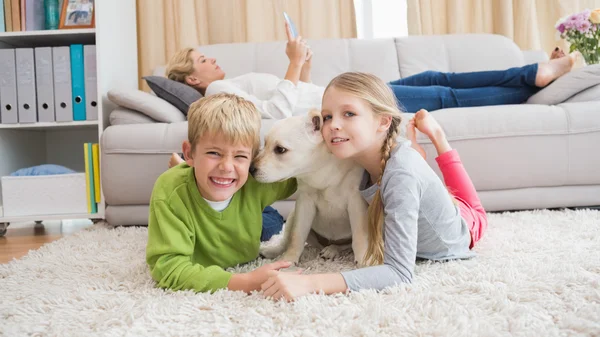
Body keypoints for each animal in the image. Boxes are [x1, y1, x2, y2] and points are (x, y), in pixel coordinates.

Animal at [251, 110, 368, 266]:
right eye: (264, 144)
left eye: (280, 150)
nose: (251, 169)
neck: (319, 169)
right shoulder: (304, 203)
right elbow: (297, 236)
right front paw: (288, 260)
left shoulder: (356, 201)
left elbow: (359, 235)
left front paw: (363, 260)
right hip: (293, 215)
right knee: (287, 240)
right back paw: (272, 251)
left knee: (345, 245)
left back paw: (332, 250)